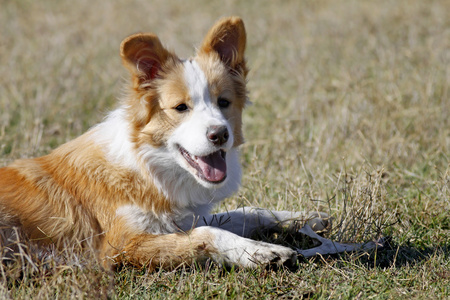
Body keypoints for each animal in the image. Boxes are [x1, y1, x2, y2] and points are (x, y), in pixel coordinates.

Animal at [0, 15, 376, 270]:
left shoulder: (181, 217)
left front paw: (301, 217)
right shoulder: (120, 246)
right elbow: (207, 234)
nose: (219, 135)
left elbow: (244, 212)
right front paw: (260, 251)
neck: (148, 167)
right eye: (181, 108)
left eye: (224, 102)